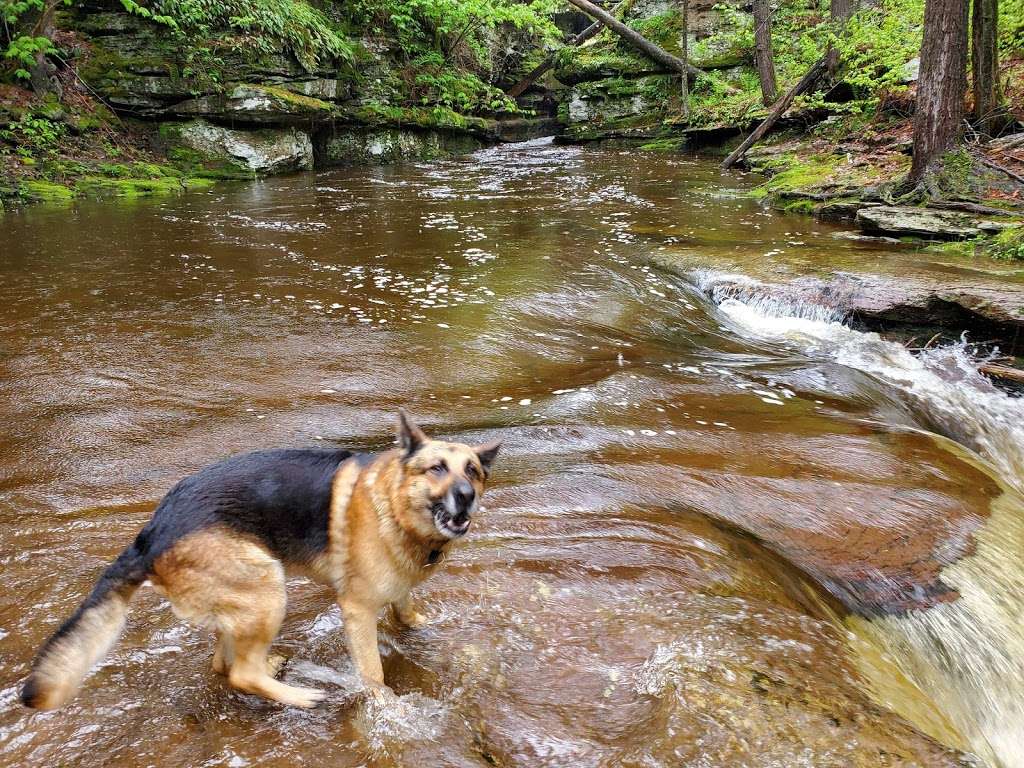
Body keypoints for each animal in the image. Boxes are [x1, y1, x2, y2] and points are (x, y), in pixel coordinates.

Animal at [19, 411, 499, 712]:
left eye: (472, 471)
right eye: (436, 469)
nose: (466, 497)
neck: (395, 507)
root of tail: (151, 533)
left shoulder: (399, 590)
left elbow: (407, 613)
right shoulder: (358, 611)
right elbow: (373, 673)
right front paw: (386, 707)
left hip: (245, 595)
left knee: (223, 662)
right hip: (268, 587)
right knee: (239, 674)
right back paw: (301, 696)